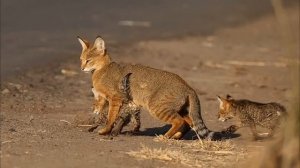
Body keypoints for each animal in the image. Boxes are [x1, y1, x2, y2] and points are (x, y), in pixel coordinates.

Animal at [77, 35, 218, 139]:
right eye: (81, 59)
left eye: (89, 60)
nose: (82, 68)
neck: (102, 70)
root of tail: (188, 86)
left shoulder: (115, 98)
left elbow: (111, 117)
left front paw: (105, 130)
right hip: (180, 110)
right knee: (189, 123)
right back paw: (175, 136)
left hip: (158, 107)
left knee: (179, 121)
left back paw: (165, 136)